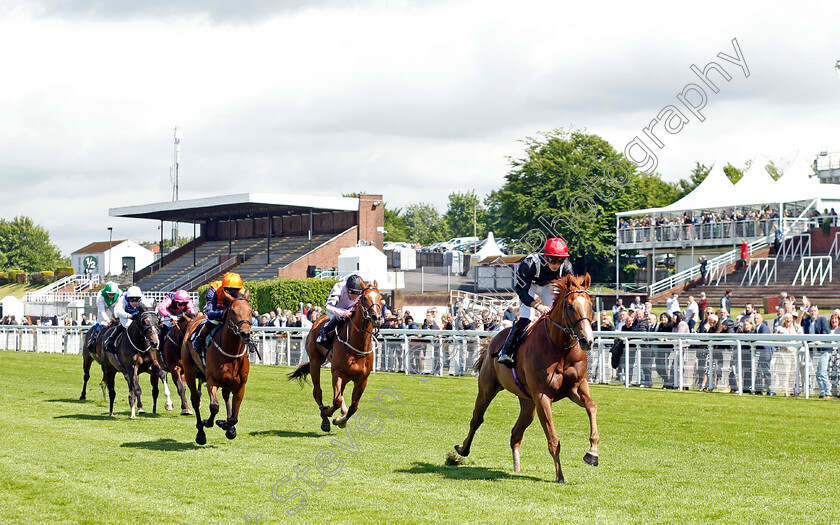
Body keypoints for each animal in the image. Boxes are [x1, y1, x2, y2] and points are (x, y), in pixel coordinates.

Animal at [182, 294, 251, 442]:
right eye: (233, 311)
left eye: (250, 310)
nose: (246, 333)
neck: (231, 352)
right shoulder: (212, 381)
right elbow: (214, 406)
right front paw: (208, 422)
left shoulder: (240, 386)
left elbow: (234, 418)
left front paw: (228, 426)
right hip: (189, 371)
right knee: (195, 399)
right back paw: (200, 433)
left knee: (225, 396)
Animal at [288, 280, 382, 432]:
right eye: (364, 298)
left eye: (380, 297)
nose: (377, 318)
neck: (358, 346)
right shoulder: (337, 373)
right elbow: (336, 400)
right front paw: (329, 413)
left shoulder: (362, 379)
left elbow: (353, 407)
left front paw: (341, 420)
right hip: (315, 362)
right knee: (317, 391)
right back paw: (325, 419)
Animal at [456, 274, 600, 484]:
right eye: (570, 306)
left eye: (590, 304)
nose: (587, 340)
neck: (560, 348)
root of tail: (494, 339)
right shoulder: (542, 396)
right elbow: (553, 439)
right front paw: (560, 476)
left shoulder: (575, 388)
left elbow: (591, 406)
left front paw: (592, 453)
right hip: (488, 388)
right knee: (477, 419)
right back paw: (462, 450)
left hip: (528, 403)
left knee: (516, 433)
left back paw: (516, 466)